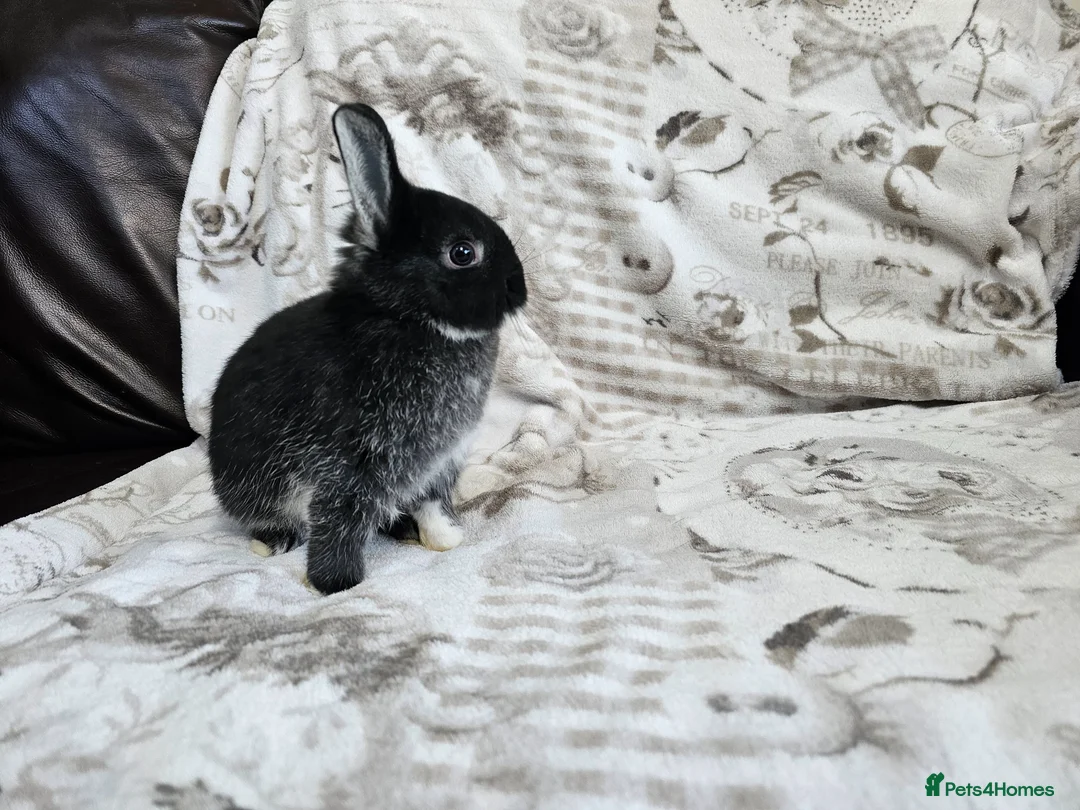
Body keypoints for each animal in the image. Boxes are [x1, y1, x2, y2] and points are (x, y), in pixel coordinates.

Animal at [208, 102, 527, 595]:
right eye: (462, 252)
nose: (520, 287)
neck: (409, 319)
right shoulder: (351, 463)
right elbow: (338, 518)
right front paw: (337, 583)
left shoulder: (437, 464)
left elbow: (431, 503)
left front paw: (445, 540)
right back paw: (273, 542)